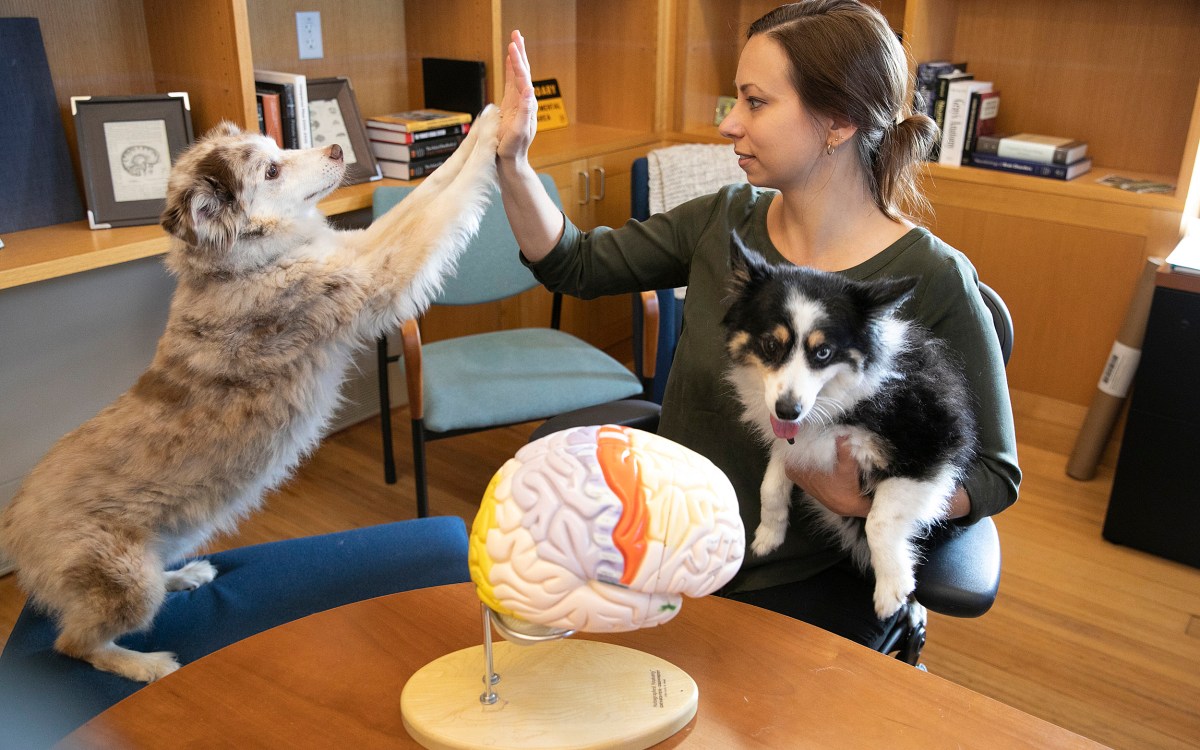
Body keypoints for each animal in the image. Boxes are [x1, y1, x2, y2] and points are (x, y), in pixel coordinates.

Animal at [720, 236, 974, 619]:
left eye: (823, 352)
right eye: (770, 344)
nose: (787, 410)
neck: (841, 398)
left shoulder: (932, 445)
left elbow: (879, 521)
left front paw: (891, 588)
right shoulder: (797, 443)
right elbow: (771, 486)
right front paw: (768, 535)